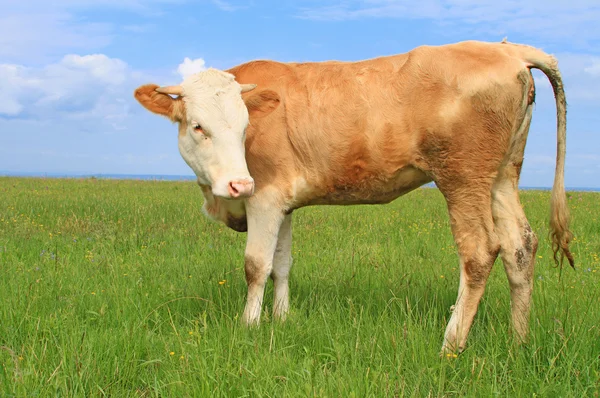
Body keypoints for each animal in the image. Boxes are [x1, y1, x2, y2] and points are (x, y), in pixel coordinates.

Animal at [134, 38, 576, 352]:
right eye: (198, 126)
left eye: (245, 127)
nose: (238, 185)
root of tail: (506, 48)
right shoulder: (284, 204)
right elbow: (283, 264)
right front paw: (282, 318)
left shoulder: (265, 197)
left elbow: (256, 265)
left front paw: (250, 326)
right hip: (501, 176)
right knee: (520, 246)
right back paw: (518, 340)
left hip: (463, 178)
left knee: (480, 251)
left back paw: (451, 344)